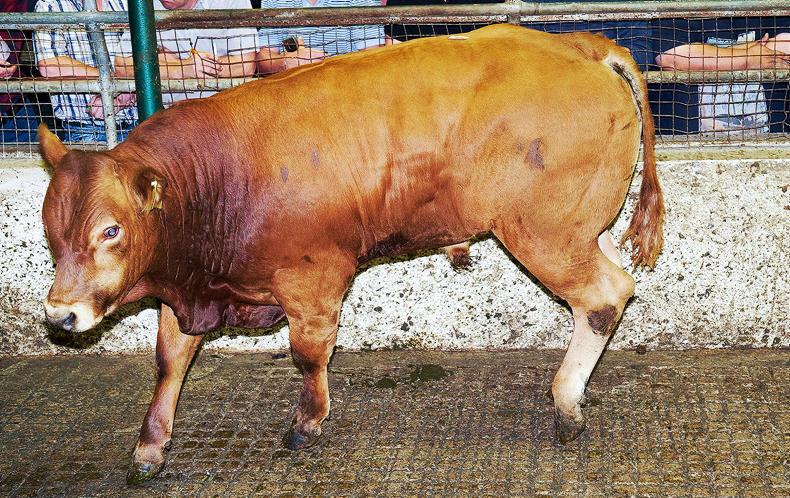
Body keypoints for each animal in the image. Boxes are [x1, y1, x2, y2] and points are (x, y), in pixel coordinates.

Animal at [39, 24, 664, 483]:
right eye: (50, 229)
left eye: (111, 230)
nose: (60, 315)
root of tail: (577, 44)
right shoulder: (189, 288)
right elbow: (170, 361)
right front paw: (150, 448)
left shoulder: (313, 278)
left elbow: (308, 353)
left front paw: (307, 423)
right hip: (580, 228)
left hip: (544, 233)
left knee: (606, 295)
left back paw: (566, 403)